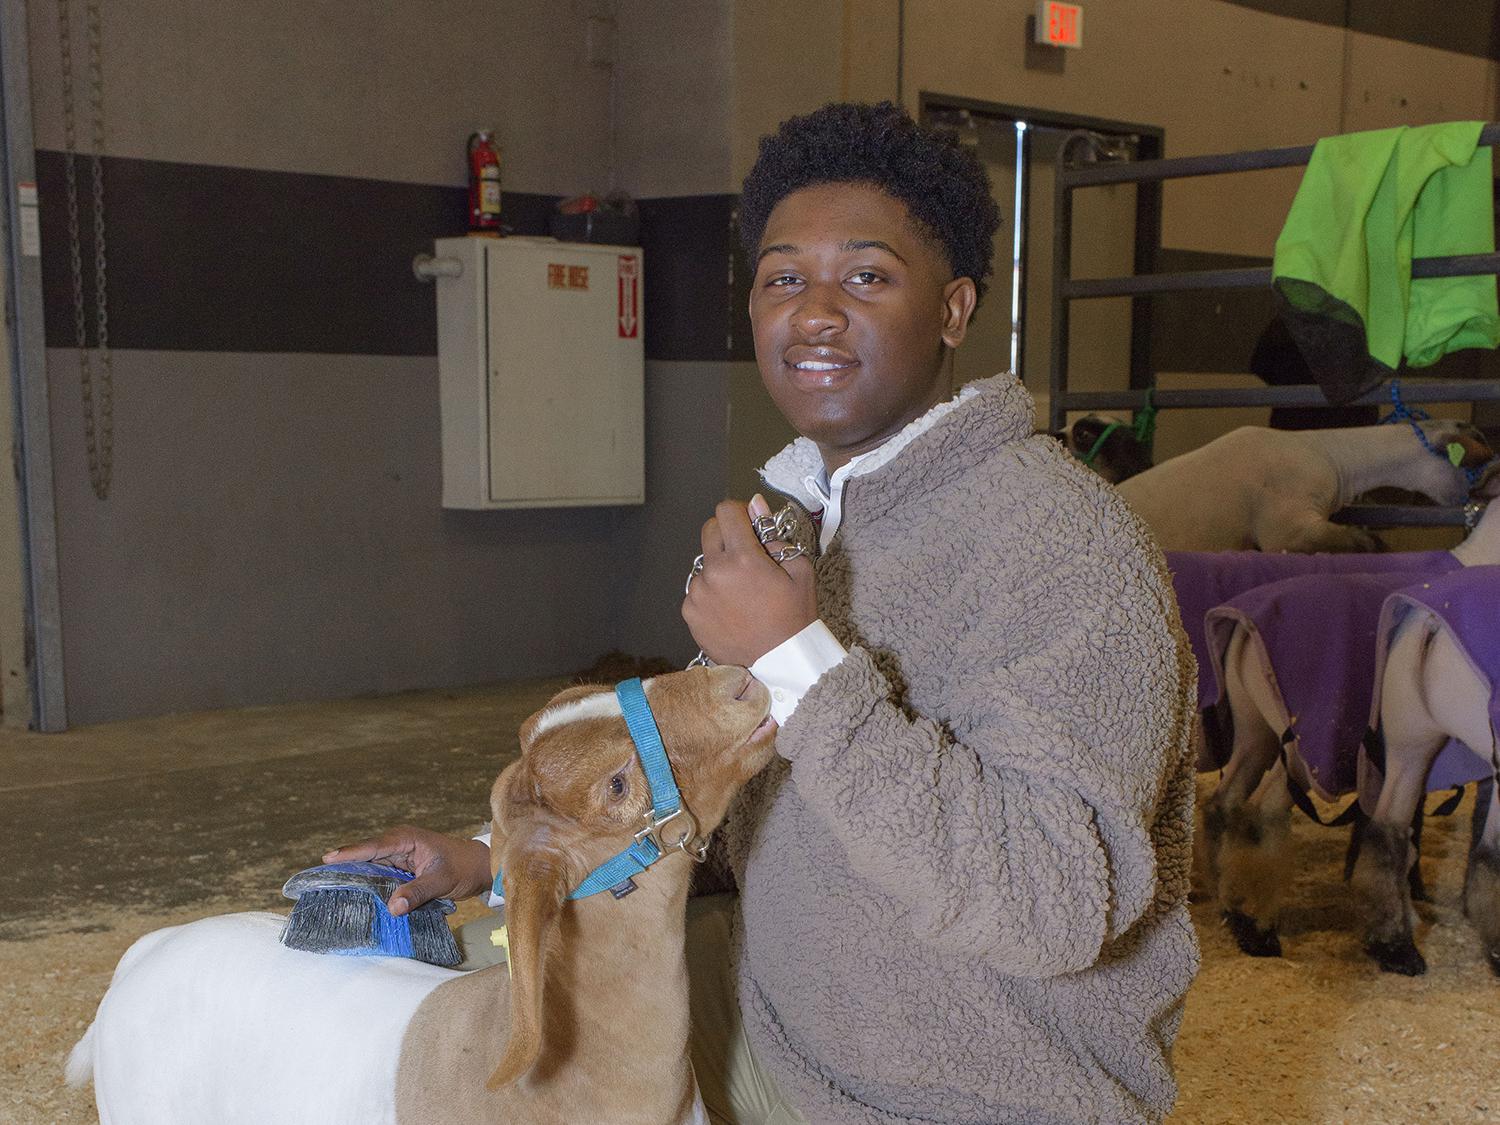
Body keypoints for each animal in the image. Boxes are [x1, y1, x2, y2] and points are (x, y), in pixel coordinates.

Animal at [1122, 420, 1494, 555]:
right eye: (1480, 467)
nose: (1488, 495)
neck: (1332, 455)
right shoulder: (1286, 528)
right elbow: (1354, 540)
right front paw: (1373, 545)